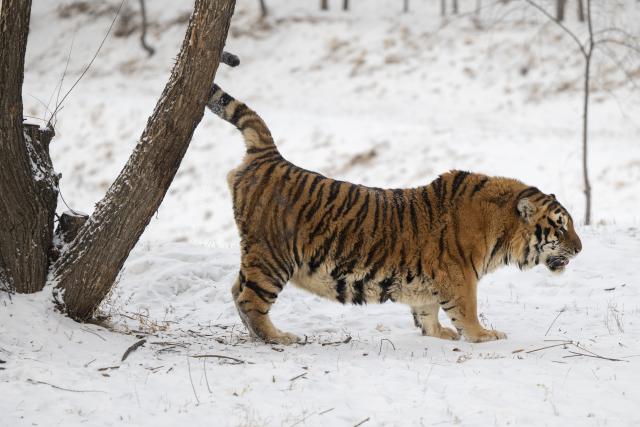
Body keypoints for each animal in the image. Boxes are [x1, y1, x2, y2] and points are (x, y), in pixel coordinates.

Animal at [206, 84, 582, 344]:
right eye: (560, 226)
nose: (580, 249)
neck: (501, 231)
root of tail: (270, 156)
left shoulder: (431, 281)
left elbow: (427, 310)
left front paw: (439, 333)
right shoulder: (460, 275)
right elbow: (467, 310)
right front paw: (484, 335)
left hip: (261, 256)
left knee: (236, 289)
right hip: (272, 256)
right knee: (250, 298)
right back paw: (278, 337)